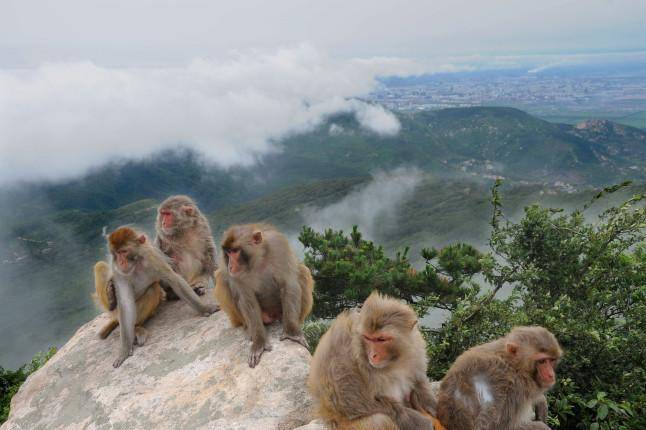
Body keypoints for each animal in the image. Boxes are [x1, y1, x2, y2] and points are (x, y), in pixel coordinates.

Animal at [105, 223, 219, 368]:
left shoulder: (152, 258)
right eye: (115, 254)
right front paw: (124, 350)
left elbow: (174, 279)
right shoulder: (117, 271)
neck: (136, 265)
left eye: (123, 252)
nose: (121, 262)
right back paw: (135, 327)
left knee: (153, 288)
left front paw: (205, 308)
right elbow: (125, 303)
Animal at [216, 223, 316, 368]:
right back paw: (249, 328)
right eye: (228, 252)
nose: (230, 265)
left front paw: (292, 331)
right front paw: (259, 342)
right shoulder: (237, 275)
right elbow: (247, 299)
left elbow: (289, 284)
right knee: (222, 277)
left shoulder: (279, 247)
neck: (257, 261)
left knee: (302, 271)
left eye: (235, 251)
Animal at [308, 290, 440, 428]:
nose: (373, 355)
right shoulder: (343, 354)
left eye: (381, 339)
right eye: (368, 338)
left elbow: (419, 383)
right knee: (379, 420)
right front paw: (424, 423)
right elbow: (350, 402)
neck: (394, 361)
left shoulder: (416, 350)